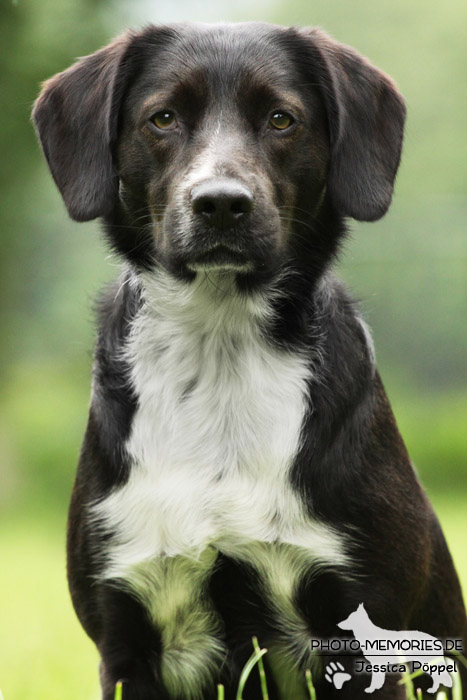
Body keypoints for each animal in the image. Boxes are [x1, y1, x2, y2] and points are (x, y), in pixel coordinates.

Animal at [31, 21, 466, 700]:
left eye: (282, 119)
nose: (220, 203)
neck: (221, 345)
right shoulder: (124, 638)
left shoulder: (365, 627)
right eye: (162, 118)